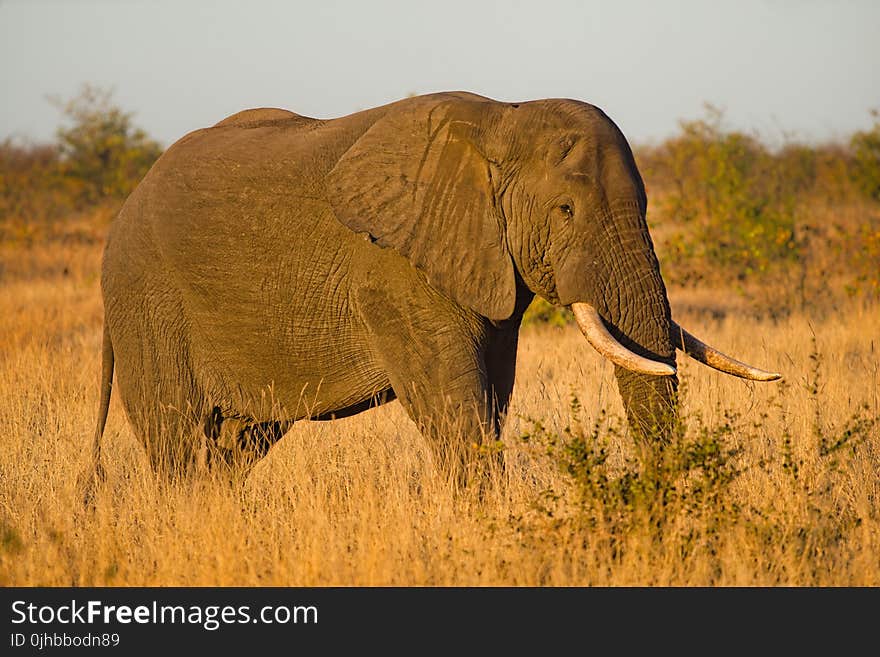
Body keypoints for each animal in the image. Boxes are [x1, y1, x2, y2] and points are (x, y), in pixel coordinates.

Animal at [84, 89, 784, 486]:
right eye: (565, 211)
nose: (657, 509)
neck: (502, 122)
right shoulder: (394, 270)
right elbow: (453, 403)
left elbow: (492, 392)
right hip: (146, 298)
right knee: (177, 439)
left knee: (235, 447)